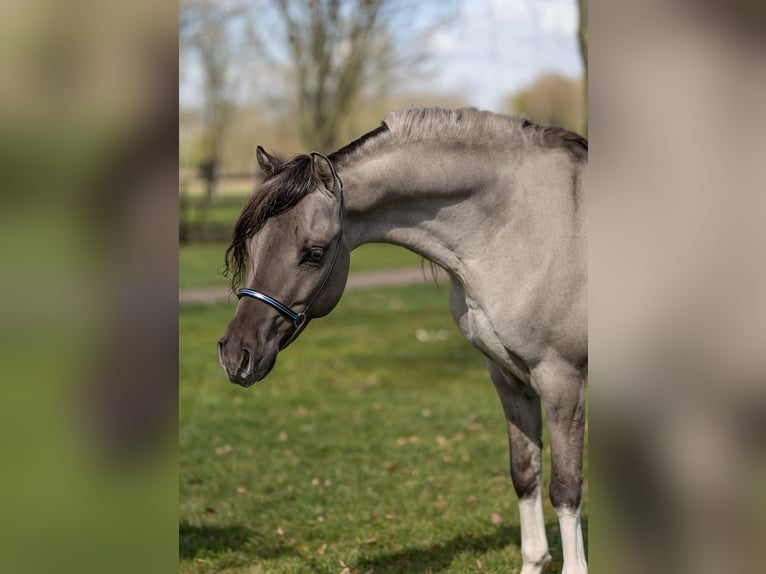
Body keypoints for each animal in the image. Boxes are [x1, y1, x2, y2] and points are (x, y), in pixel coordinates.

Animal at [217, 107, 588, 574]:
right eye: (251, 245)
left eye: (314, 253)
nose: (235, 355)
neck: (521, 223)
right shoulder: (508, 377)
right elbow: (524, 473)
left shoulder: (561, 381)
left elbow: (566, 489)